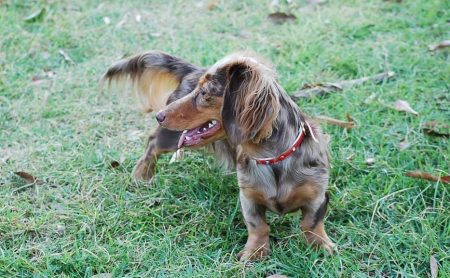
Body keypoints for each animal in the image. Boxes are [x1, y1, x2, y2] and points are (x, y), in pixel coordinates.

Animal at [104, 51, 334, 260]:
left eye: (204, 93)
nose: (158, 115)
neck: (272, 159)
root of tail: (193, 70)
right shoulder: (248, 198)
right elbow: (258, 226)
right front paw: (254, 252)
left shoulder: (317, 196)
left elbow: (311, 223)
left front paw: (321, 246)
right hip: (171, 138)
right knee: (152, 143)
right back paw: (142, 175)